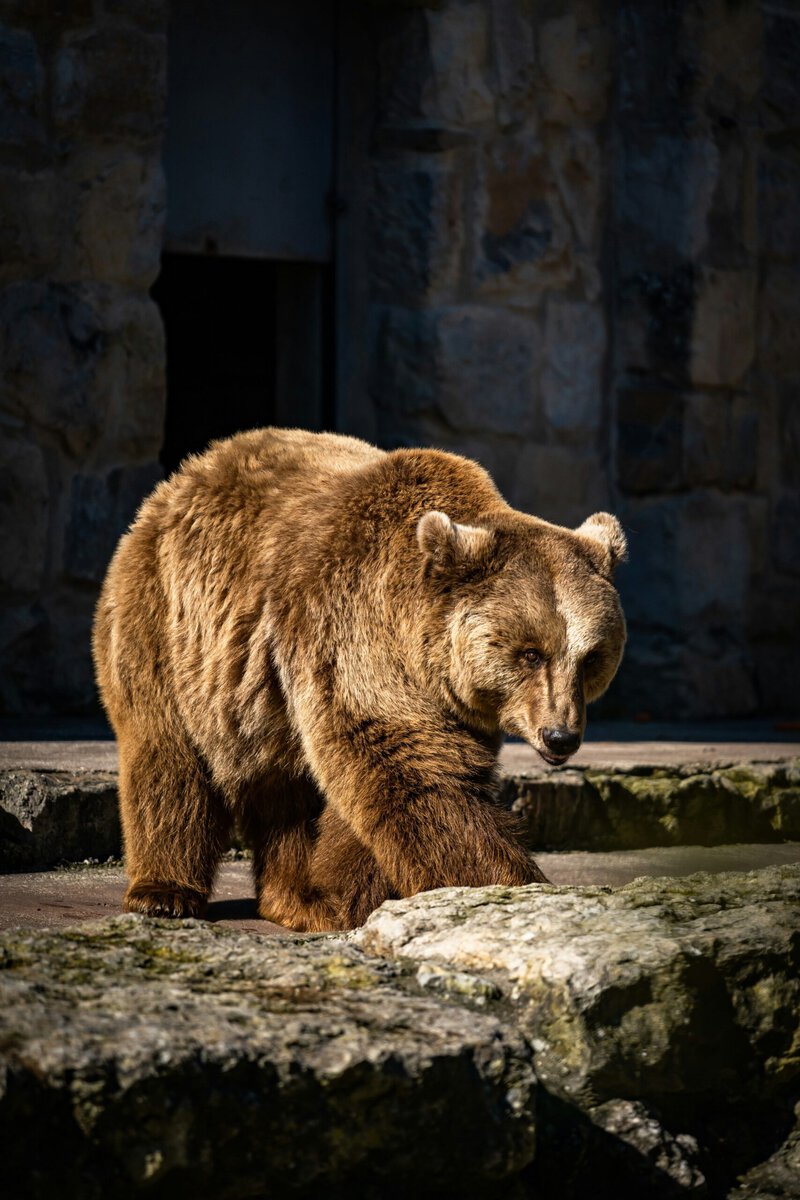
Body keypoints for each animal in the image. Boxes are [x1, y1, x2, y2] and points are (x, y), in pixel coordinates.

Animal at [93, 427, 627, 931]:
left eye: (591, 658)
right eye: (530, 653)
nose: (560, 736)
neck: (420, 645)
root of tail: (189, 472)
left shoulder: (449, 702)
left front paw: (346, 894)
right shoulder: (354, 628)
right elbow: (411, 769)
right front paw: (510, 885)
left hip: (264, 696)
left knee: (287, 788)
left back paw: (294, 896)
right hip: (170, 619)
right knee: (168, 754)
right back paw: (164, 892)